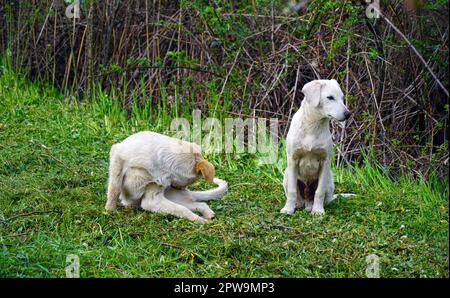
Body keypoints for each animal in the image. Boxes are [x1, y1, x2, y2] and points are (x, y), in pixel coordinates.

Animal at [280, 78, 354, 214]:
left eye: (342, 98)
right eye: (330, 97)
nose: (348, 114)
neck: (312, 126)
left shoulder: (325, 161)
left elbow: (319, 192)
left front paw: (318, 211)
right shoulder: (293, 160)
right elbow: (292, 191)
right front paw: (288, 209)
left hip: (329, 180)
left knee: (317, 197)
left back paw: (311, 207)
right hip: (287, 175)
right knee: (297, 197)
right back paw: (297, 205)